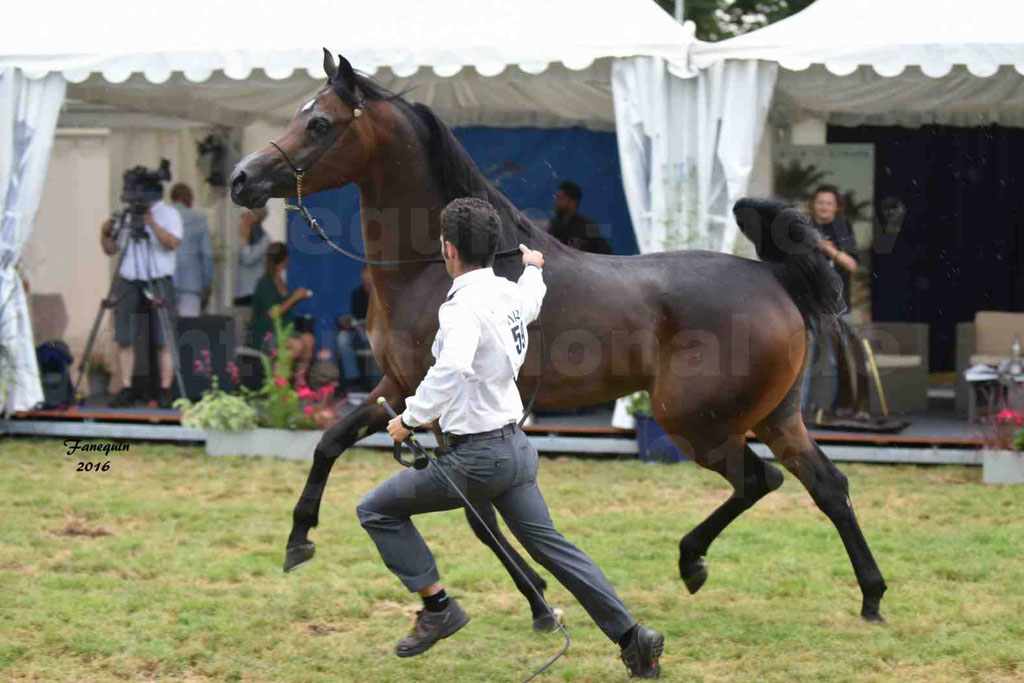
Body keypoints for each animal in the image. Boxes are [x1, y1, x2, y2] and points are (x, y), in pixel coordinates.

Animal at [228, 48, 884, 626]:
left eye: (319, 122)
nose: (241, 178)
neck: (431, 269)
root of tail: (773, 276)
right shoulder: (400, 387)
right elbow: (330, 441)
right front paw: (298, 540)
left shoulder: (444, 405)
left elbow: (478, 516)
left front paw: (538, 595)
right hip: (776, 417)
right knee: (827, 485)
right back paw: (870, 597)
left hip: (698, 423)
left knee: (761, 480)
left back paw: (693, 562)